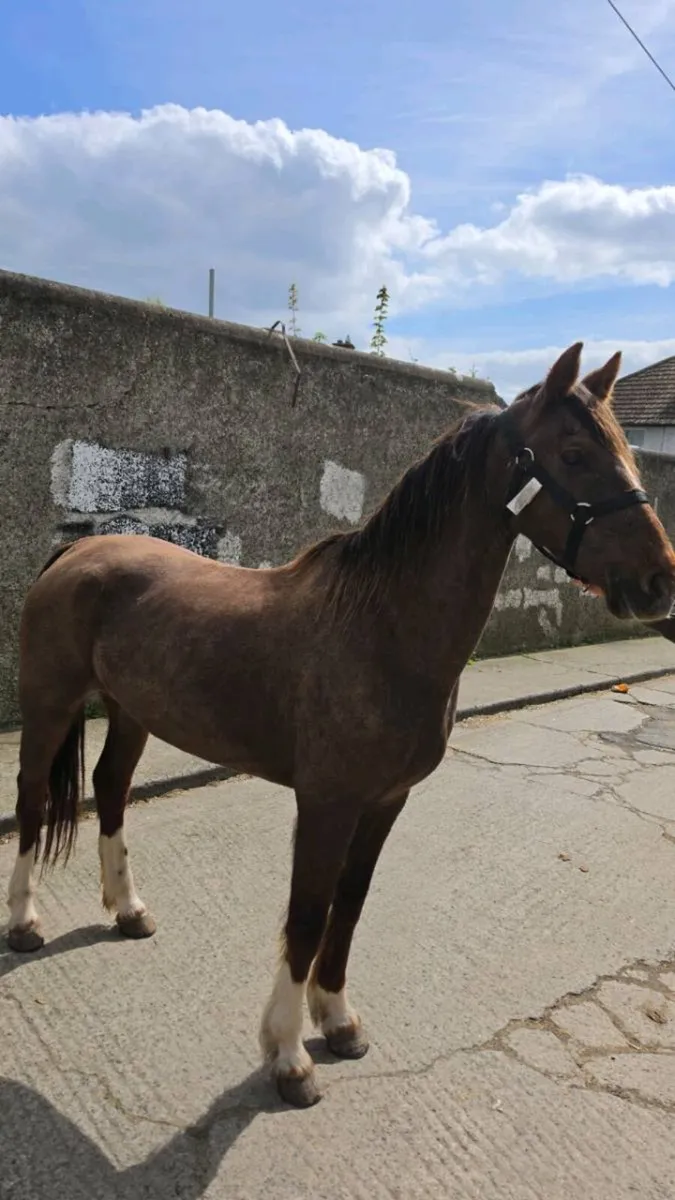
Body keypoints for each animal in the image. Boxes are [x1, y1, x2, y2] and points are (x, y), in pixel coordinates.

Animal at [7, 341, 675, 1108]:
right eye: (572, 453)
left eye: (623, 448)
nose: (659, 581)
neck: (381, 629)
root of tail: (78, 552)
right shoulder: (326, 804)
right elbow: (306, 916)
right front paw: (289, 1055)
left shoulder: (385, 802)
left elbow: (347, 910)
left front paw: (338, 1021)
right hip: (51, 704)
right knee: (33, 801)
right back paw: (23, 922)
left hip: (131, 710)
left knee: (111, 788)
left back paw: (127, 909)